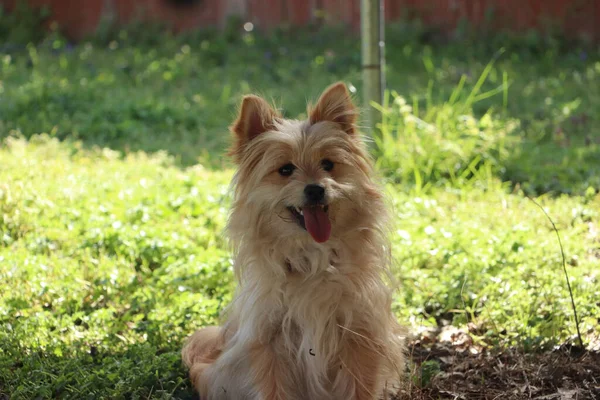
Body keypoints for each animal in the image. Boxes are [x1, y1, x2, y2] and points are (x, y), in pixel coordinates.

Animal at [183, 82, 406, 400]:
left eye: (328, 164)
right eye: (285, 170)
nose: (315, 189)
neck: (312, 259)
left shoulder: (360, 334)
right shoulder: (270, 340)